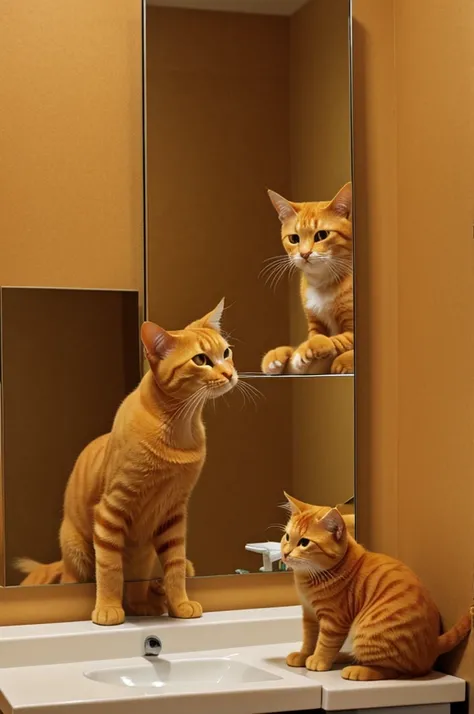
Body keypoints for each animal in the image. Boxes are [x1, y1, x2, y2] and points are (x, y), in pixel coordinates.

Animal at [15, 300, 237, 624]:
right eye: (201, 359)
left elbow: (175, 567)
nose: (230, 373)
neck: (178, 426)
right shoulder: (111, 509)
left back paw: (147, 603)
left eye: (226, 352)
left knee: (139, 584)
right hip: (77, 553)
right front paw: (107, 608)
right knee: (82, 577)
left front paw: (180, 604)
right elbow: (109, 569)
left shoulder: (173, 514)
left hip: (145, 554)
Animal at [262, 181, 352, 376]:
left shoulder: (352, 328)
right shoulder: (315, 325)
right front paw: (280, 356)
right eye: (294, 238)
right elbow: (302, 346)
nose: (304, 254)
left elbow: (338, 340)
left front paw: (309, 350)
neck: (322, 283)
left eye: (321, 235)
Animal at [282, 492, 470, 676]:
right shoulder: (309, 615)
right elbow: (309, 638)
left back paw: (358, 670)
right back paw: (344, 657)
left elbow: (325, 643)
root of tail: (433, 644)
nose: (284, 554)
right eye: (287, 537)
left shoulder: (334, 620)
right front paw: (304, 655)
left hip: (371, 633)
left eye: (304, 542)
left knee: (391, 670)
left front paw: (318, 660)